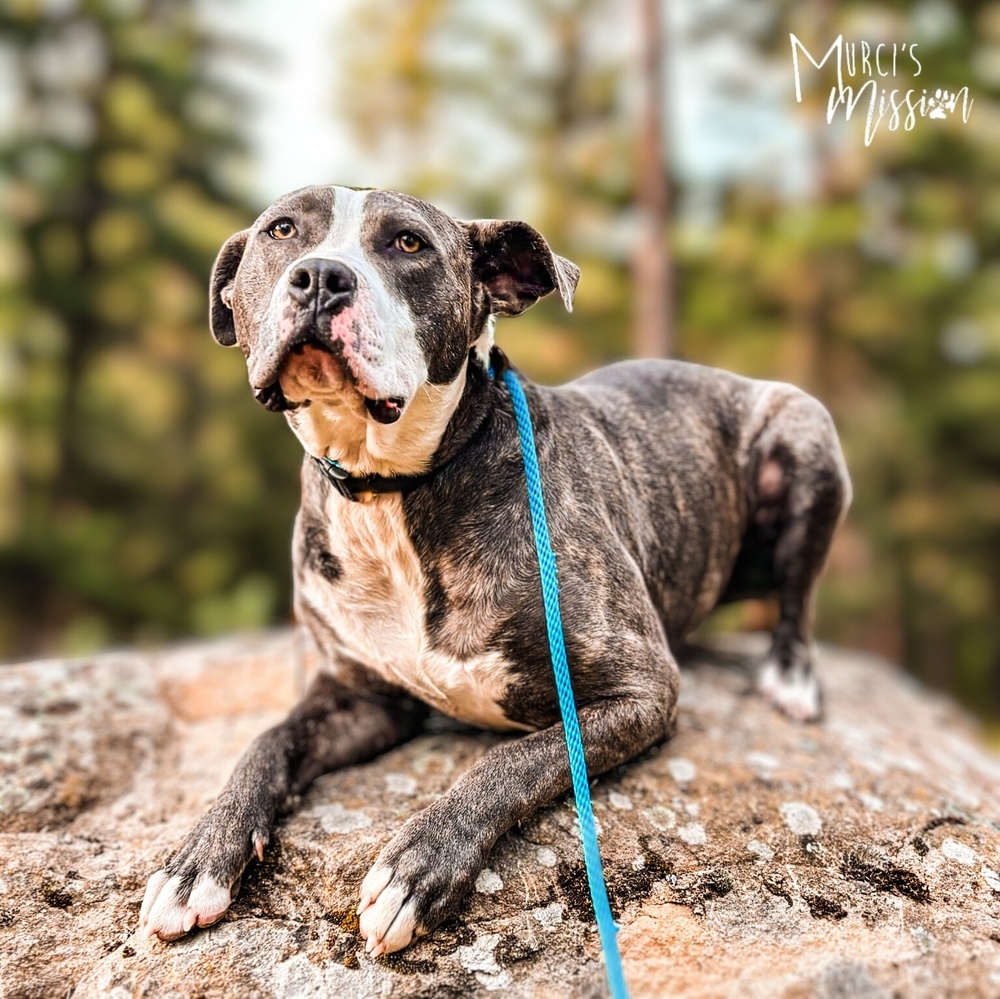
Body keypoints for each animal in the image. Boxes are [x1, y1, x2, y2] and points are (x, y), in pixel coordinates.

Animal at [137, 184, 848, 956]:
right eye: (282, 230)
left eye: (409, 243)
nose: (320, 276)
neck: (392, 490)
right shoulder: (360, 697)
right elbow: (267, 742)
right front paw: (198, 858)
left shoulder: (639, 691)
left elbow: (513, 760)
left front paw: (418, 864)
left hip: (805, 431)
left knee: (798, 598)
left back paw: (790, 678)